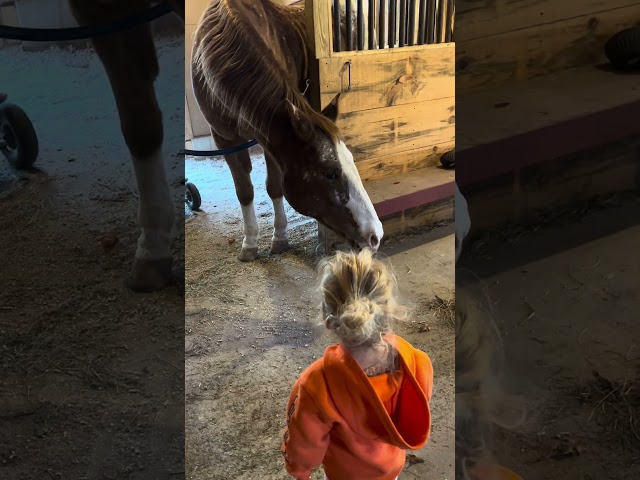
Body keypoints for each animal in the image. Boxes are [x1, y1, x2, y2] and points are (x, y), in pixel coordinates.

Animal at [189, 0, 380, 262]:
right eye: (329, 173)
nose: (375, 235)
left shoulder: (270, 142)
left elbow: (274, 186)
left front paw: (279, 238)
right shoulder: (225, 140)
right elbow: (244, 191)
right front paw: (250, 244)